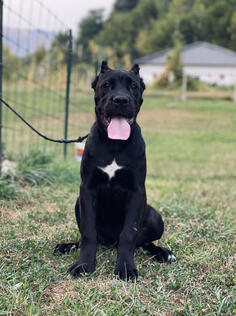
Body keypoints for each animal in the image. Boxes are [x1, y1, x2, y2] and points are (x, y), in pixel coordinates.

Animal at [55, 61, 175, 278]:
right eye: (106, 85)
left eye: (133, 86)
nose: (120, 100)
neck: (114, 144)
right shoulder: (87, 190)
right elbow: (88, 233)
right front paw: (83, 265)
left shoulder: (137, 191)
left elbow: (128, 233)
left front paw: (126, 267)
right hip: (78, 204)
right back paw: (67, 246)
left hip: (155, 217)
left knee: (144, 242)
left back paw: (164, 253)